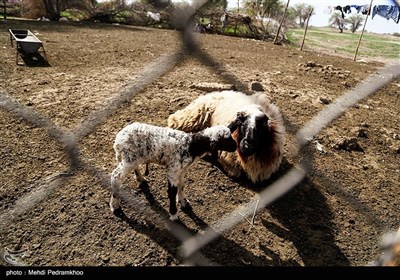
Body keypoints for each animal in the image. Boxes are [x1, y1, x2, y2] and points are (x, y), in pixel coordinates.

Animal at [108, 122, 238, 221]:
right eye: (226, 140)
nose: (236, 146)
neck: (191, 145)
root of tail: (118, 139)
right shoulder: (172, 170)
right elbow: (172, 191)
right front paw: (174, 214)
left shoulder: (181, 170)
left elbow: (182, 185)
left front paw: (183, 202)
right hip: (129, 158)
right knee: (116, 176)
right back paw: (115, 205)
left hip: (134, 157)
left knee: (133, 168)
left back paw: (141, 179)